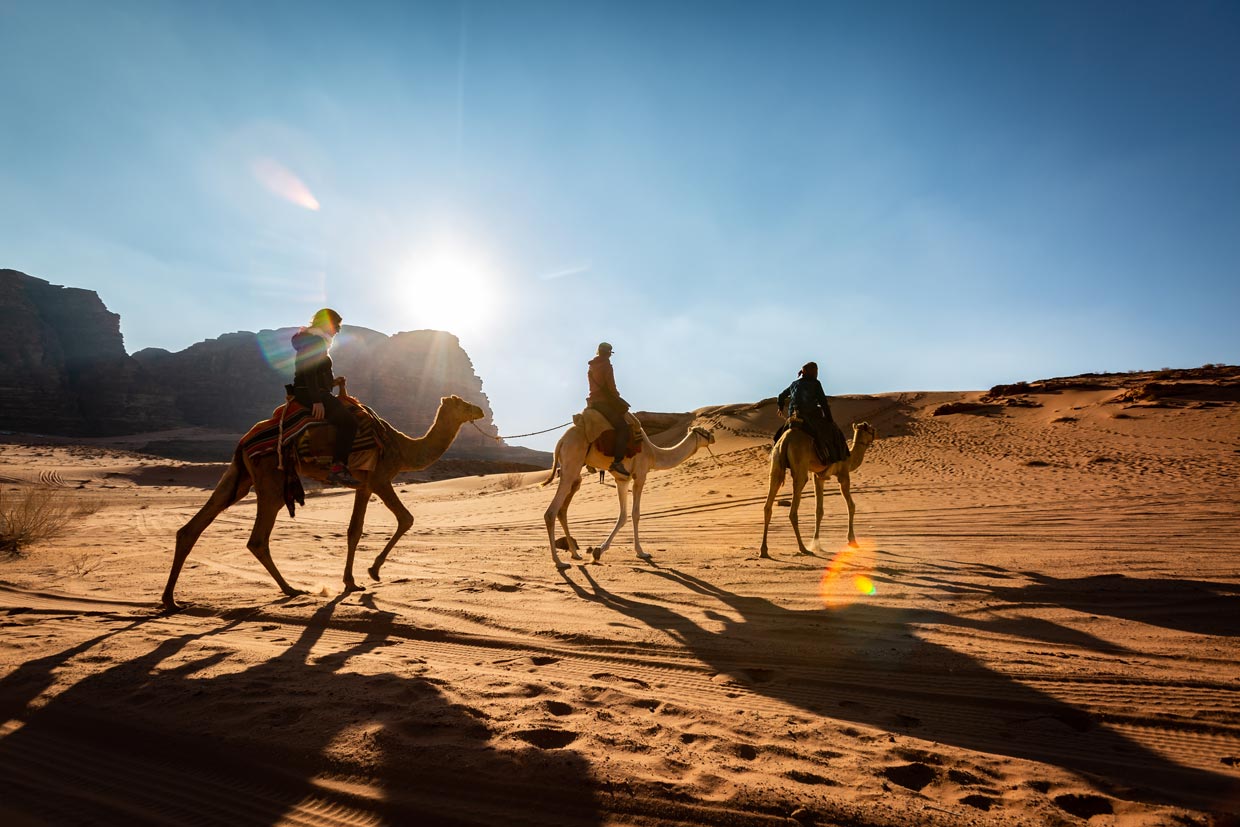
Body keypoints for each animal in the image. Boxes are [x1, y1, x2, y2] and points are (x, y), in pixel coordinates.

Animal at [163, 391, 488, 612]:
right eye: (462, 403)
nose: (481, 410)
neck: (403, 448)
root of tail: (245, 441)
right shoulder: (380, 478)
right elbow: (405, 518)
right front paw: (372, 572)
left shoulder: (363, 485)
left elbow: (354, 530)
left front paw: (352, 580)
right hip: (271, 477)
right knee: (257, 538)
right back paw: (291, 589)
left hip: (240, 475)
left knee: (193, 527)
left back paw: (170, 600)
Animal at [545, 421, 719, 570]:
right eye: (703, 431)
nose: (713, 437)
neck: (654, 453)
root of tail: (561, 441)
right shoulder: (640, 475)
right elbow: (636, 514)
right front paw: (641, 552)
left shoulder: (622, 479)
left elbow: (623, 516)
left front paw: (598, 551)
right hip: (572, 464)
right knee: (551, 512)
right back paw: (559, 562)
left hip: (574, 472)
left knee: (562, 510)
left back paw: (575, 554)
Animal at [758, 424, 877, 560]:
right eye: (871, 429)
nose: (876, 433)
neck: (850, 458)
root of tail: (785, 440)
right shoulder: (843, 475)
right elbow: (851, 506)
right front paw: (852, 541)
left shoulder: (819, 476)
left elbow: (819, 510)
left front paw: (816, 543)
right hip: (800, 466)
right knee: (793, 510)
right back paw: (803, 548)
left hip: (776, 463)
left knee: (768, 505)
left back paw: (764, 551)